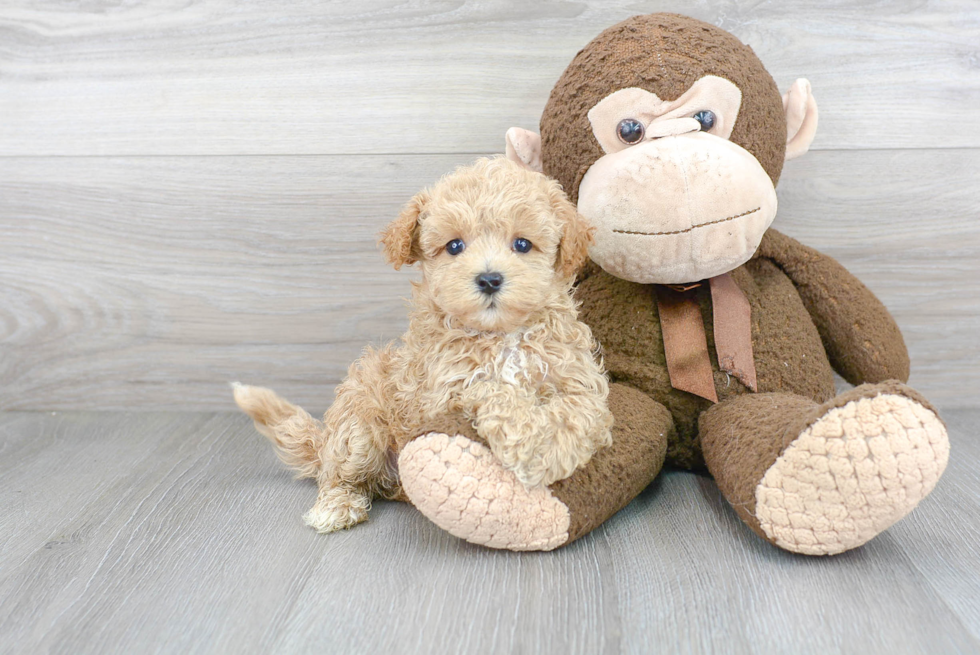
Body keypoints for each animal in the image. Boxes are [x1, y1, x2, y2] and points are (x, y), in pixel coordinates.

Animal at [233, 158, 608, 532]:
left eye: (523, 244)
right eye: (454, 246)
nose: (489, 279)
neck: (501, 335)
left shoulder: (577, 377)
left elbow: (579, 411)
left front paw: (550, 450)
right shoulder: (442, 394)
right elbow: (493, 390)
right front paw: (529, 447)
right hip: (359, 425)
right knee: (341, 473)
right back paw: (337, 505)